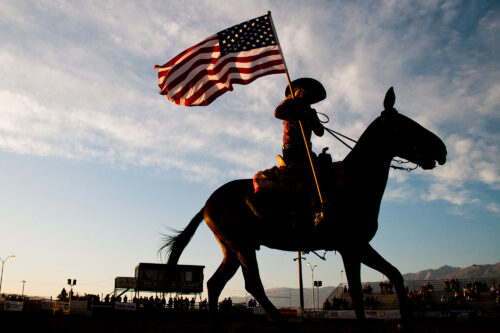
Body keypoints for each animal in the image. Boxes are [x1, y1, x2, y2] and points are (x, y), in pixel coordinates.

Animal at [162, 87, 448, 326]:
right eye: (403, 125)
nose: (442, 150)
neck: (354, 181)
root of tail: (208, 204)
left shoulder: (360, 246)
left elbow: (395, 274)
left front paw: (405, 323)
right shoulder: (350, 246)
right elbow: (357, 293)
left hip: (231, 250)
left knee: (215, 284)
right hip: (242, 246)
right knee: (253, 285)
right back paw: (285, 325)